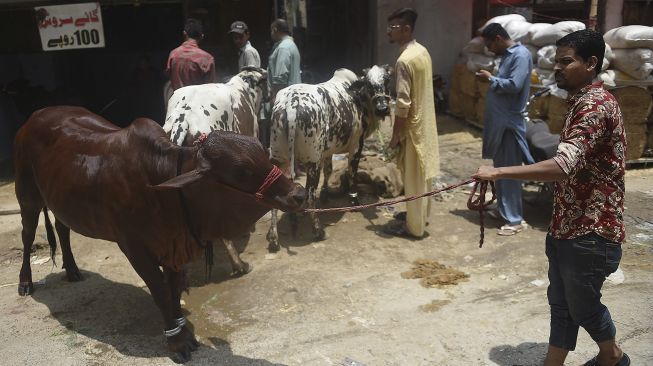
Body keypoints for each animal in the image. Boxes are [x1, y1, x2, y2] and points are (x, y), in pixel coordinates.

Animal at [14, 106, 306, 364]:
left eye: (263, 154)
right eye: (242, 172)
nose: (299, 193)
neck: (163, 186)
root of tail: (35, 116)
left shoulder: (175, 247)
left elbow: (174, 291)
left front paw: (183, 329)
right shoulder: (134, 247)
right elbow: (161, 292)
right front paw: (177, 342)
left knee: (62, 228)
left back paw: (73, 270)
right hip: (27, 195)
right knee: (27, 236)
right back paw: (25, 282)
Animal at [266, 66, 390, 250]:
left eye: (387, 79)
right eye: (368, 83)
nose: (383, 108)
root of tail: (291, 104)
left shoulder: (327, 151)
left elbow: (329, 170)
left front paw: (325, 194)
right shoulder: (356, 145)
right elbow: (352, 173)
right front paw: (354, 200)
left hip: (278, 158)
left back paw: (274, 238)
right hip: (312, 161)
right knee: (310, 194)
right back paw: (318, 230)